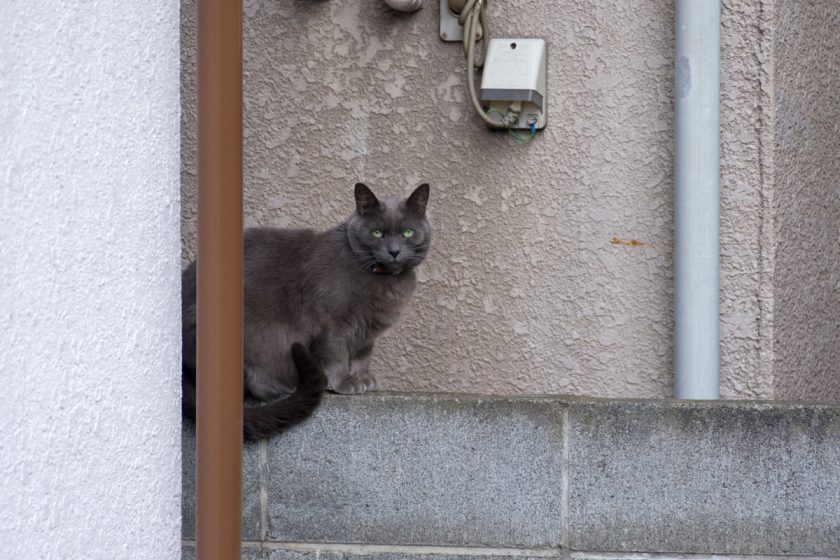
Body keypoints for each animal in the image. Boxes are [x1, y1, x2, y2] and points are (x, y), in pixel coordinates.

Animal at [184, 182, 434, 440]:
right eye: (377, 233)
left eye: (408, 232)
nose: (394, 251)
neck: (383, 279)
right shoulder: (332, 323)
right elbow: (336, 354)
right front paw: (345, 382)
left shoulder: (368, 331)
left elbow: (362, 355)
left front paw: (364, 378)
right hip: (261, 333)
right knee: (257, 382)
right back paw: (287, 387)